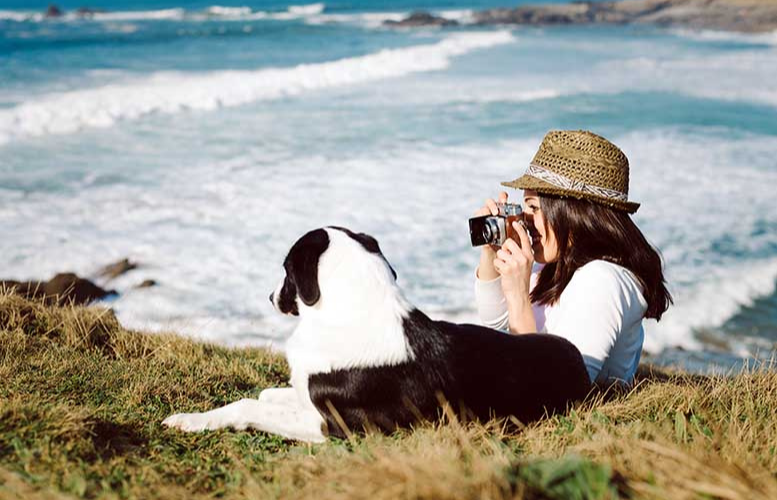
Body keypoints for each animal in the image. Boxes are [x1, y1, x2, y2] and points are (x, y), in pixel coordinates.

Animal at [164, 227, 588, 442]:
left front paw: (189, 420)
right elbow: (268, 394)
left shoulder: (334, 426)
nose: (270, 297)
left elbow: (249, 406)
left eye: (285, 270)